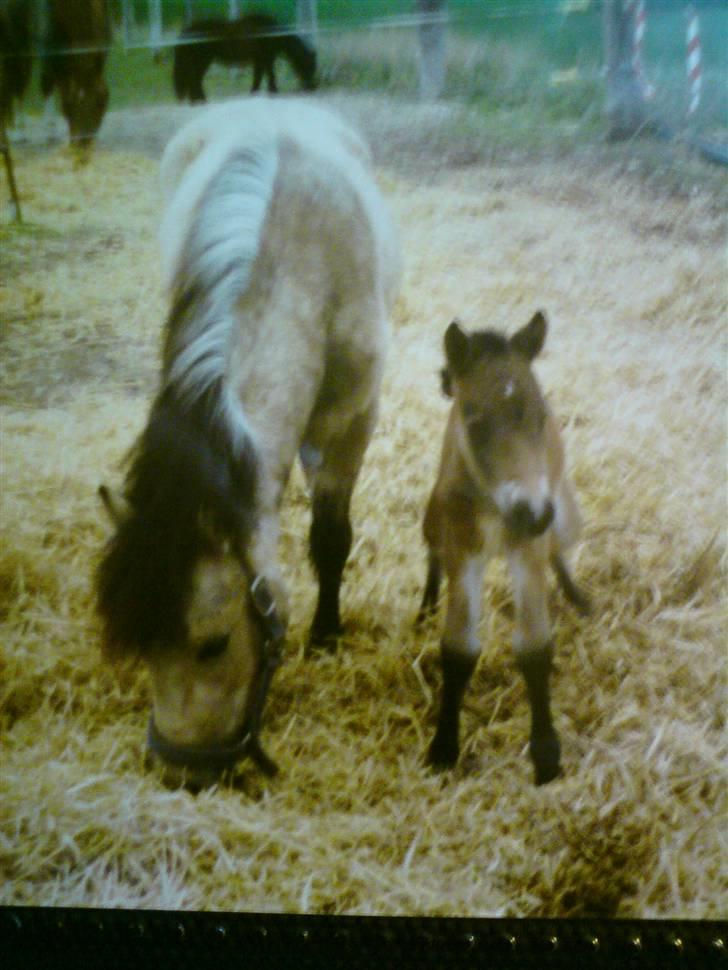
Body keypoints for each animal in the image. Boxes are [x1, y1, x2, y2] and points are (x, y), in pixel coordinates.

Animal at [94, 102, 400, 792]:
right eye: (142, 647)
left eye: (212, 643)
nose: (180, 774)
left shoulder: (351, 424)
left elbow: (330, 538)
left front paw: (327, 636)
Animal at [175, 12, 318, 104]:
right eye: (308, 64)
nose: (312, 87)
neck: (272, 33)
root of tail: (188, 30)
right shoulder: (266, 59)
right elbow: (269, 75)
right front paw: (273, 91)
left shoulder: (260, 60)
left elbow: (258, 76)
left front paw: (255, 92)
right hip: (203, 61)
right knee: (195, 80)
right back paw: (200, 100)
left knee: (194, 80)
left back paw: (197, 100)